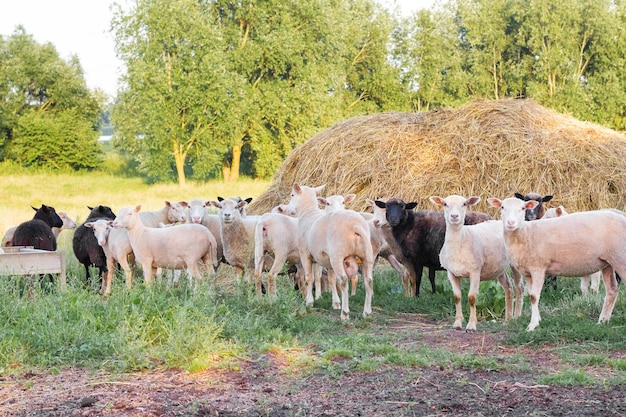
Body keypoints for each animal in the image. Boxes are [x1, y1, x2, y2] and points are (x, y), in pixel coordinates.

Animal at [284, 181, 376, 318]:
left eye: (292, 195)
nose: (289, 210)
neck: (308, 212)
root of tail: (355, 225)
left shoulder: (305, 253)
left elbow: (309, 278)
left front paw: (309, 302)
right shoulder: (325, 259)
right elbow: (331, 280)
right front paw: (335, 303)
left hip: (338, 256)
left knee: (344, 280)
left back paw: (345, 313)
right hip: (366, 256)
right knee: (368, 281)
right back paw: (366, 312)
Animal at [428, 193, 520, 330]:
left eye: (464, 204)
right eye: (445, 204)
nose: (454, 216)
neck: (462, 239)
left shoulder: (475, 272)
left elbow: (471, 298)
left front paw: (471, 325)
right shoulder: (451, 273)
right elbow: (457, 297)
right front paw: (457, 323)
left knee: (520, 288)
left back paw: (518, 316)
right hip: (499, 268)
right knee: (508, 288)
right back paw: (508, 319)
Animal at [486, 197, 620, 330]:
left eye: (523, 208)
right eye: (502, 207)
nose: (511, 223)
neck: (526, 234)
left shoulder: (538, 269)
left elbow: (534, 296)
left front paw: (533, 325)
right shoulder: (528, 273)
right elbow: (531, 295)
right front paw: (538, 319)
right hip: (607, 264)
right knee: (612, 290)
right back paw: (603, 321)